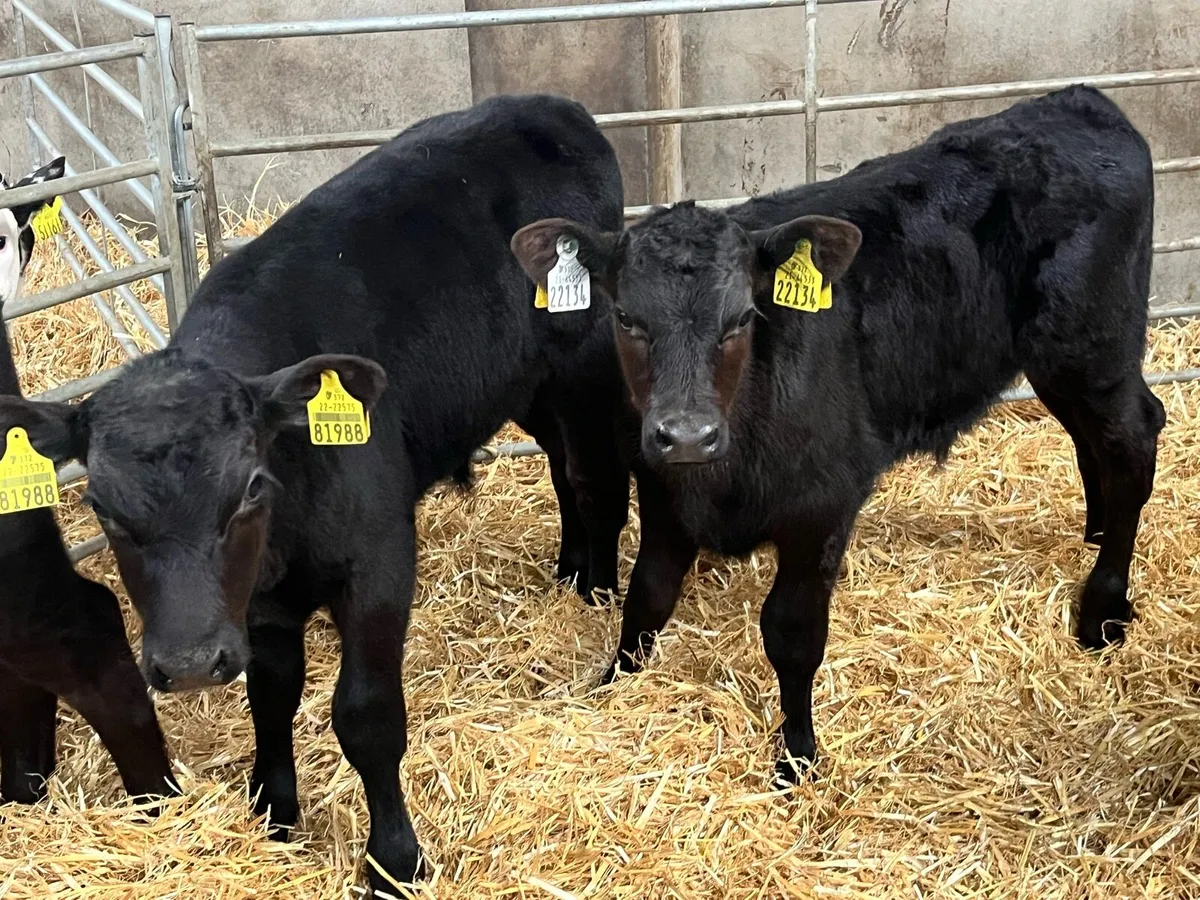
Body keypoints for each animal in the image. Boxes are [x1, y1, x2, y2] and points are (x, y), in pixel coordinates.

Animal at [511, 86, 1164, 783]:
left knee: (1134, 441)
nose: (687, 435)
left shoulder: (820, 507)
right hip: (1059, 364)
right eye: (626, 317)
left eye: (742, 318)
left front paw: (797, 752)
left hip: (1092, 347)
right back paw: (1095, 535)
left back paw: (1103, 608)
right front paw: (612, 686)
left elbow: (792, 632)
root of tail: (1075, 101)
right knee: (1095, 444)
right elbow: (647, 599)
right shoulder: (664, 493)